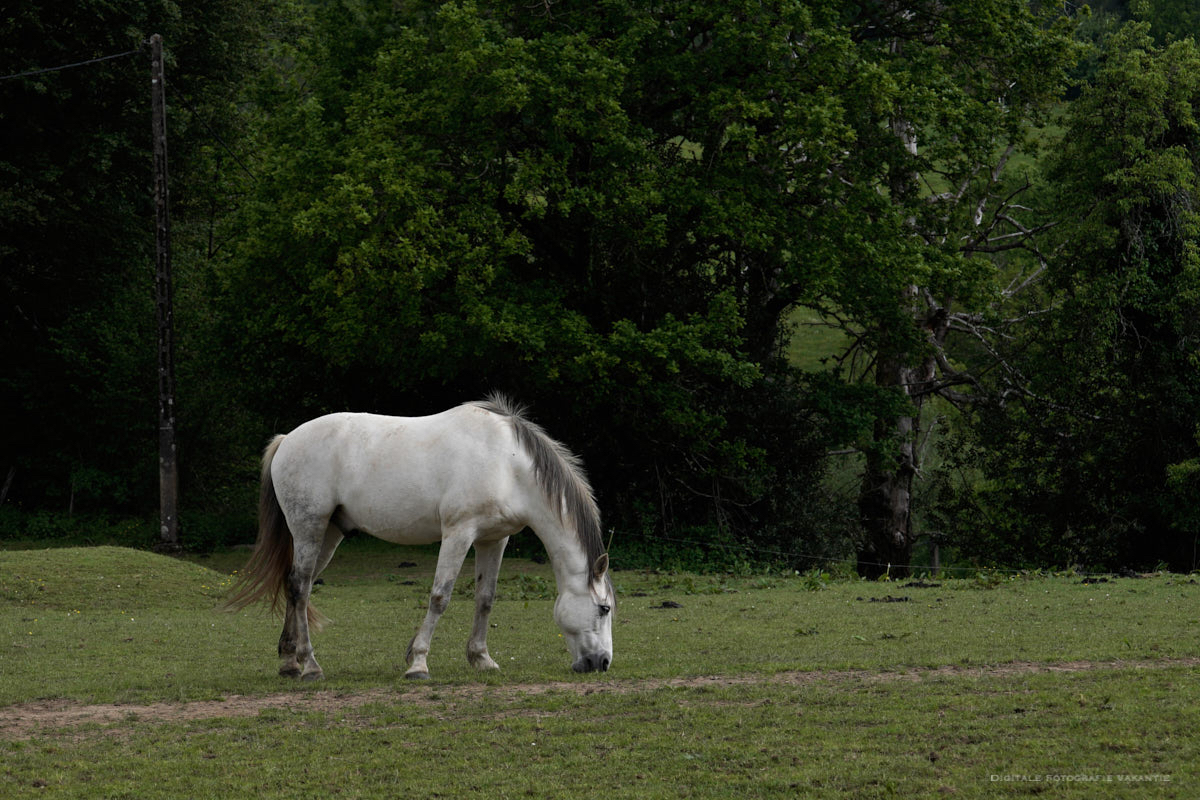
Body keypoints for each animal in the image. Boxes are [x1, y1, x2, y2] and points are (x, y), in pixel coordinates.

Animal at [225, 393, 614, 681]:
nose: (602, 663)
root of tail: (287, 440)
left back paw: (289, 662)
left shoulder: (493, 540)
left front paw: (481, 658)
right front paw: (418, 663)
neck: (507, 463)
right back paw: (310, 665)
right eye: (604, 608)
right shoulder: (459, 533)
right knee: (300, 587)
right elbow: (440, 596)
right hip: (309, 527)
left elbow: (485, 599)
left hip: (329, 534)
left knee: (296, 585)